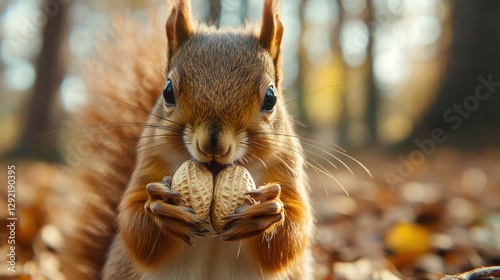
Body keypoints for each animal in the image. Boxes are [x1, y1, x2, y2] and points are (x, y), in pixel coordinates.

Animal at [60, 0, 312, 280]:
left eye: (271, 97)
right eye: (168, 91)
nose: (213, 145)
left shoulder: (285, 170)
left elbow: (291, 237)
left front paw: (269, 210)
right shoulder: (150, 164)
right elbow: (135, 228)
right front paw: (161, 205)